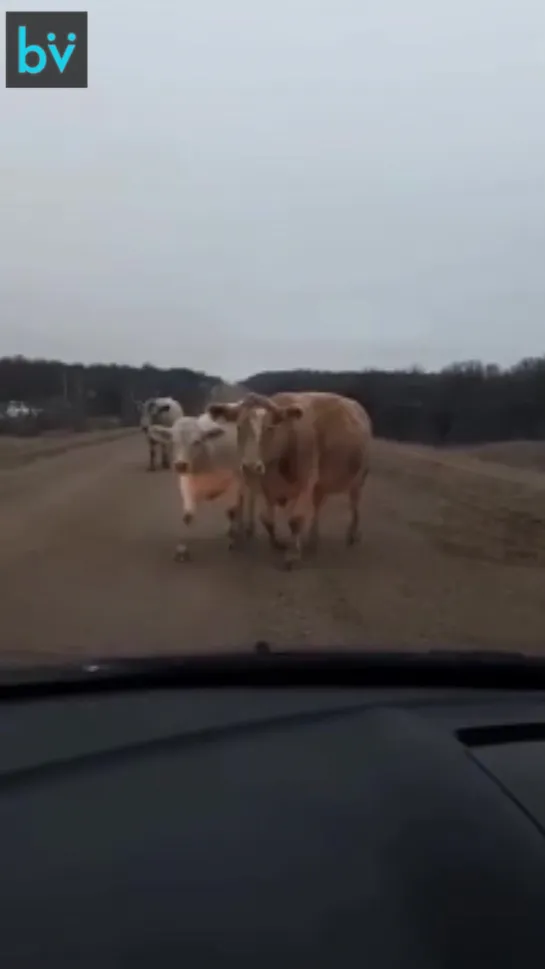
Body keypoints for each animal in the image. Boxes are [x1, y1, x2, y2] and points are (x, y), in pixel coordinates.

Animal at [146, 410, 254, 560]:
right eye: (173, 442)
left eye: (197, 441)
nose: (180, 465)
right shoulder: (187, 485)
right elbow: (188, 516)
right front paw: (181, 549)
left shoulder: (234, 481)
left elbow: (231, 511)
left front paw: (233, 540)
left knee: (248, 499)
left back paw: (247, 528)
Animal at [206, 388, 372, 568]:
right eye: (238, 426)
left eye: (270, 428)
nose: (250, 466)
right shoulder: (266, 486)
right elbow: (266, 519)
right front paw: (277, 543)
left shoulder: (306, 484)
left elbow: (295, 520)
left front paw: (292, 554)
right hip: (321, 486)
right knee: (318, 506)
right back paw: (312, 540)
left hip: (358, 479)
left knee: (354, 505)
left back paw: (352, 534)